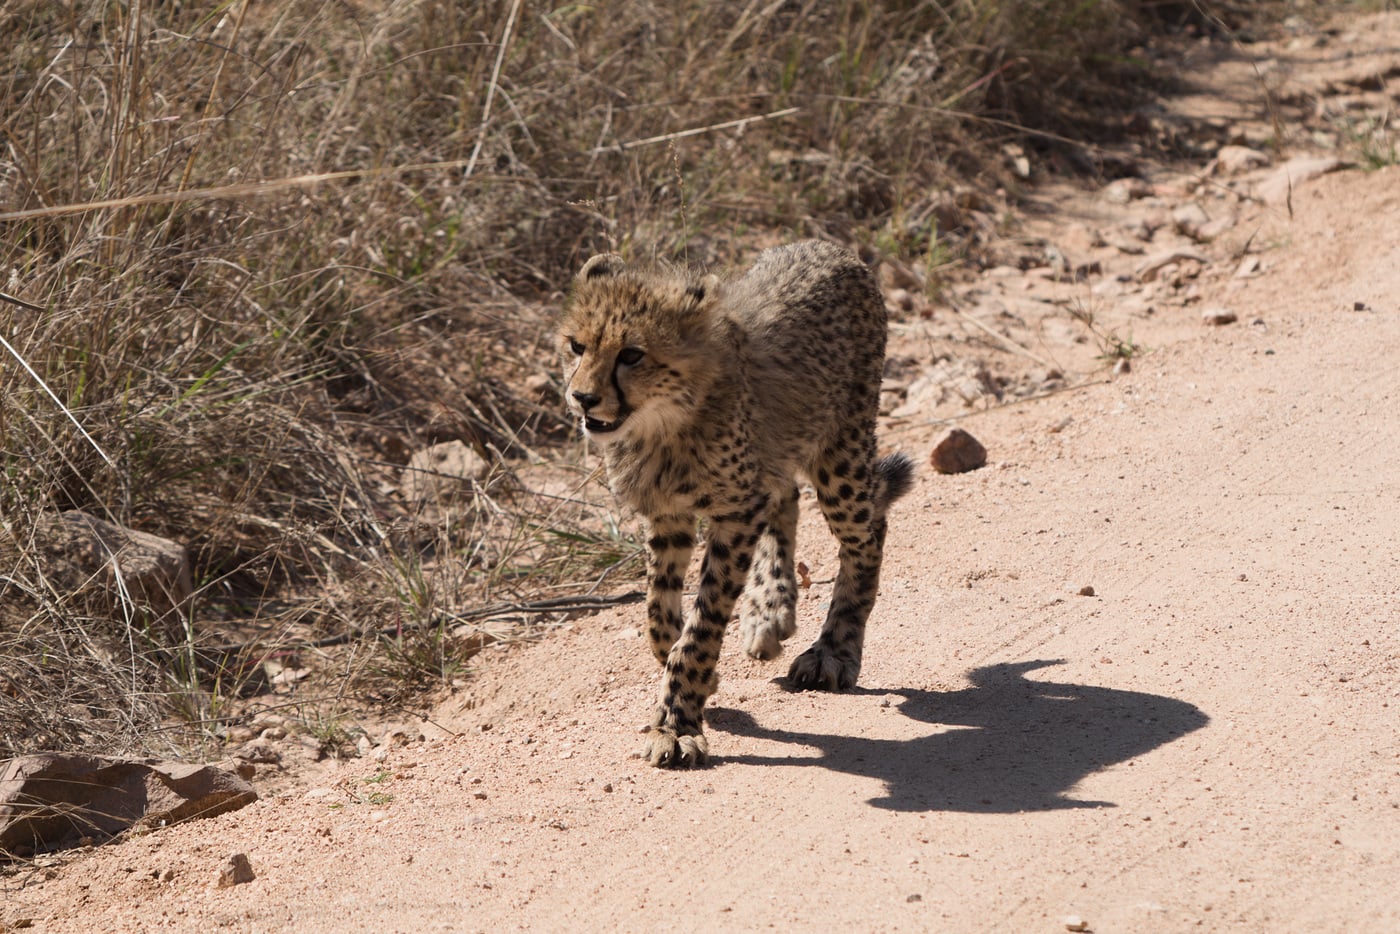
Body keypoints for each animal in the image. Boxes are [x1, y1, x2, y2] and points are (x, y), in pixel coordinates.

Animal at [558, 239, 913, 768]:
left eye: (632, 354)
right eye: (577, 346)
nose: (582, 397)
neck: (663, 421)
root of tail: (828, 246)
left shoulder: (734, 515)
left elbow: (700, 629)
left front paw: (677, 723)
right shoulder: (670, 514)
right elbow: (657, 615)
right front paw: (696, 680)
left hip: (842, 453)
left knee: (867, 531)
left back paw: (834, 650)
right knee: (786, 495)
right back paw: (770, 608)